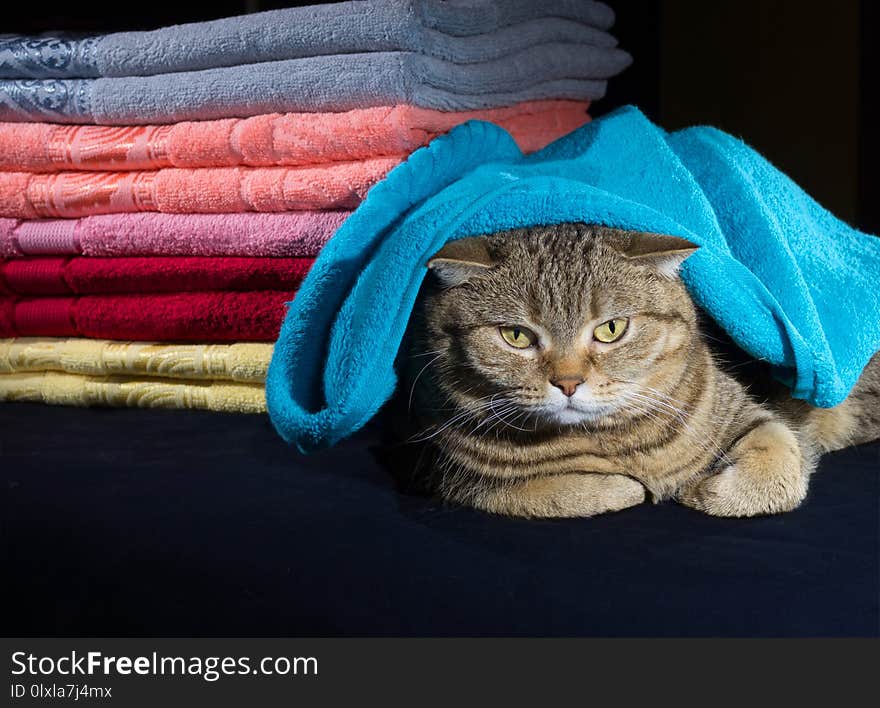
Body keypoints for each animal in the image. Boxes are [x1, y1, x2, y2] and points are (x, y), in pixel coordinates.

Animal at [394, 224, 880, 516]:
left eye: (611, 329)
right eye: (516, 336)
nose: (568, 382)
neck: (614, 442)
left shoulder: (750, 414)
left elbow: (778, 460)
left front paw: (704, 491)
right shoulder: (447, 475)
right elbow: (547, 493)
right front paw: (628, 487)